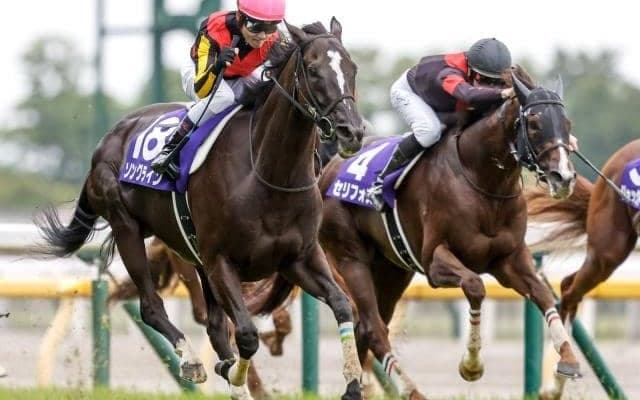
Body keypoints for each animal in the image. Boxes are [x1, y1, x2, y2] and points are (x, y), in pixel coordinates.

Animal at [32, 18, 365, 400]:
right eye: (312, 70)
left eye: (352, 68)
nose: (352, 132)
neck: (266, 174)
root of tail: (108, 139)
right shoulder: (221, 260)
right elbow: (247, 335)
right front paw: (233, 373)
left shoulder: (298, 258)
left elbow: (342, 304)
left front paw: (353, 384)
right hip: (128, 227)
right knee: (152, 307)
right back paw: (192, 360)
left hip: (194, 255)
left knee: (216, 326)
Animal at [313, 66, 581, 399]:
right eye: (533, 123)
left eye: (567, 124)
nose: (564, 178)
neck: (482, 181)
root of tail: (329, 168)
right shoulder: (435, 262)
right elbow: (475, 286)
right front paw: (471, 365)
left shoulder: (509, 259)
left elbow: (544, 295)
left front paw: (568, 358)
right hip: (350, 257)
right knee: (373, 328)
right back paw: (412, 391)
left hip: (391, 269)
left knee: (370, 326)